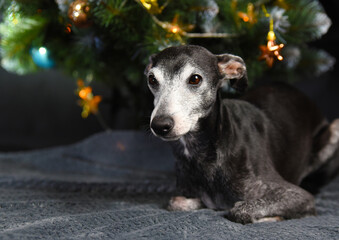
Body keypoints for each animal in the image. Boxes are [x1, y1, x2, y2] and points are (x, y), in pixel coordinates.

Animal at [144, 45, 339, 225]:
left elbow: (239, 210)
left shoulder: (298, 196)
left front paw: (271, 217)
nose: (160, 125)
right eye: (152, 79)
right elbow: (175, 201)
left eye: (195, 79)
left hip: (334, 129)